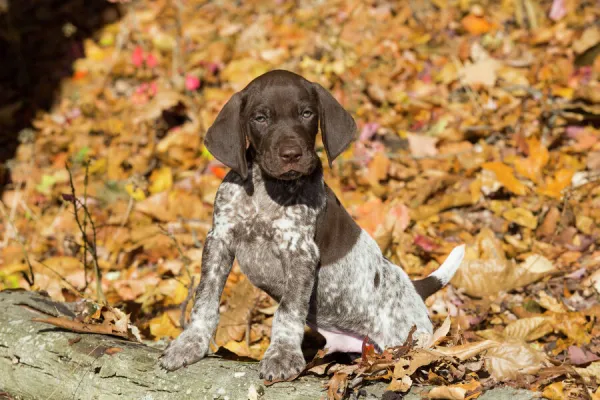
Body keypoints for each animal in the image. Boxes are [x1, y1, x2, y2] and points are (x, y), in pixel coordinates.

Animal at [159, 69, 464, 382]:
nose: (292, 154)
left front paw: (282, 355)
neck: (266, 190)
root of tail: (414, 288)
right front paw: (190, 342)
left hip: (405, 337)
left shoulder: (300, 252)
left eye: (306, 114)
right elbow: (205, 297)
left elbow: (288, 310)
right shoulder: (219, 239)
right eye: (260, 118)